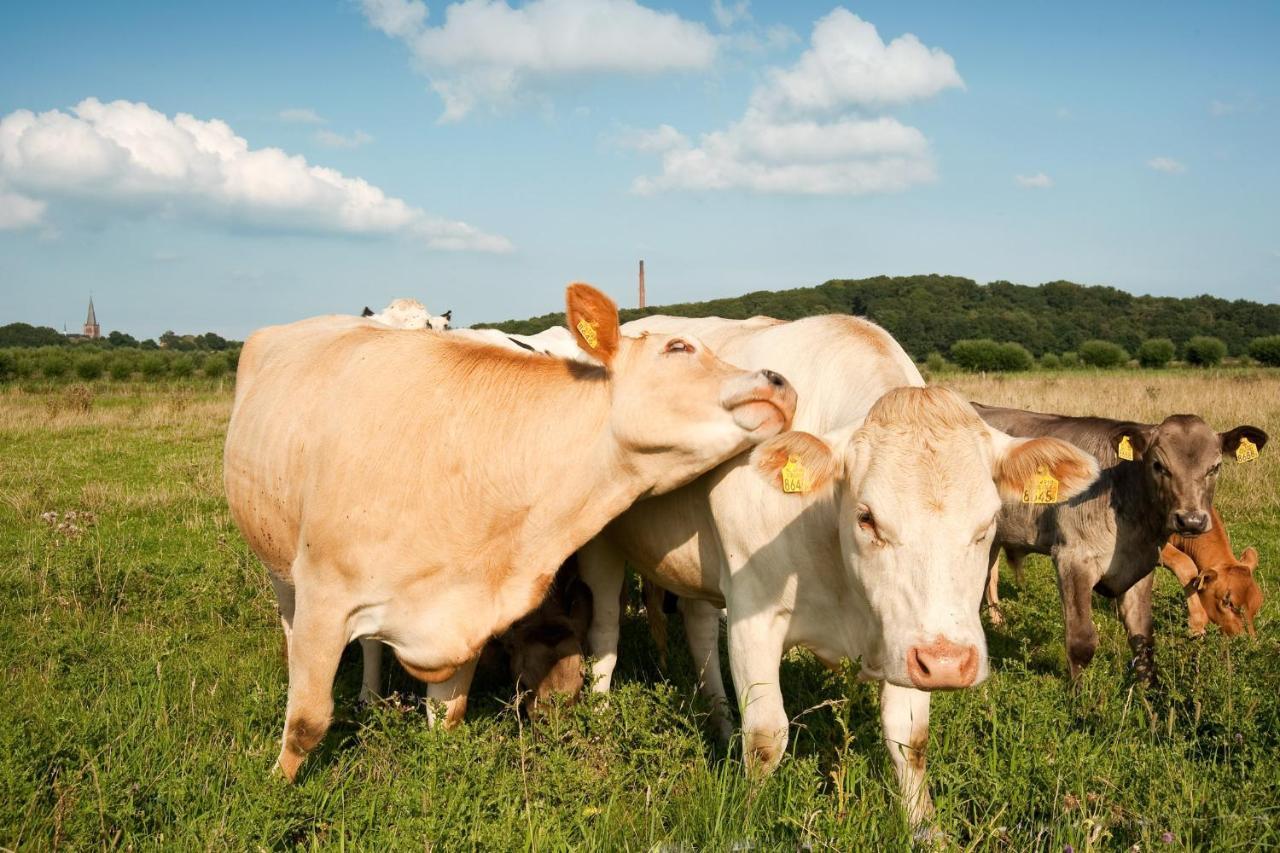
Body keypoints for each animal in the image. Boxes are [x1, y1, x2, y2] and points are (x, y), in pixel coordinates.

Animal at [225, 284, 793, 778]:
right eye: (679, 347)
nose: (780, 381)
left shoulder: (464, 613)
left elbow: (445, 718)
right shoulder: (325, 597)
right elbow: (306, 721)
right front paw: (276, 786)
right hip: (278, 564)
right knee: (303, 629)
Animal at [576, 312, 1095, 824]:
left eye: (988, 522)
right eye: (867, 517)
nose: (949, 662)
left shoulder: (905, 634)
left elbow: (910, 739)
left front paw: (923, 826)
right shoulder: (753, 615)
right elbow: (766, 737)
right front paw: (745, 815)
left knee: (699, 627)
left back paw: (720, 722)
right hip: (600, 549)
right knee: (605, 629)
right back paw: (599, 719)